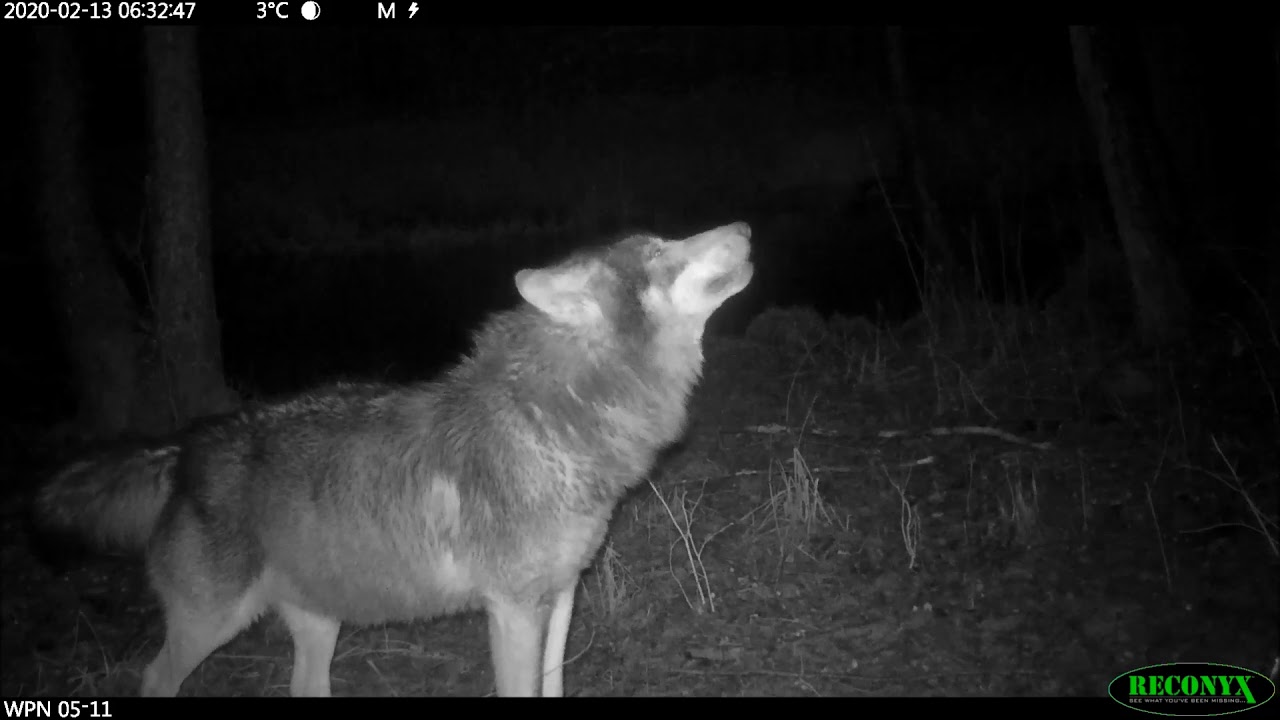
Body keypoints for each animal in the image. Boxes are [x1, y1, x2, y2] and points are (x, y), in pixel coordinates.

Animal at [32, 222, 754, 697]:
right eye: (661, 252)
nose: (745, 226)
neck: (554, 421)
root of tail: (185, 447)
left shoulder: (564, 595)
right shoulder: (513, 610)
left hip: (318, 622)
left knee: (304, 687)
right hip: (211, 625)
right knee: (155, 678)